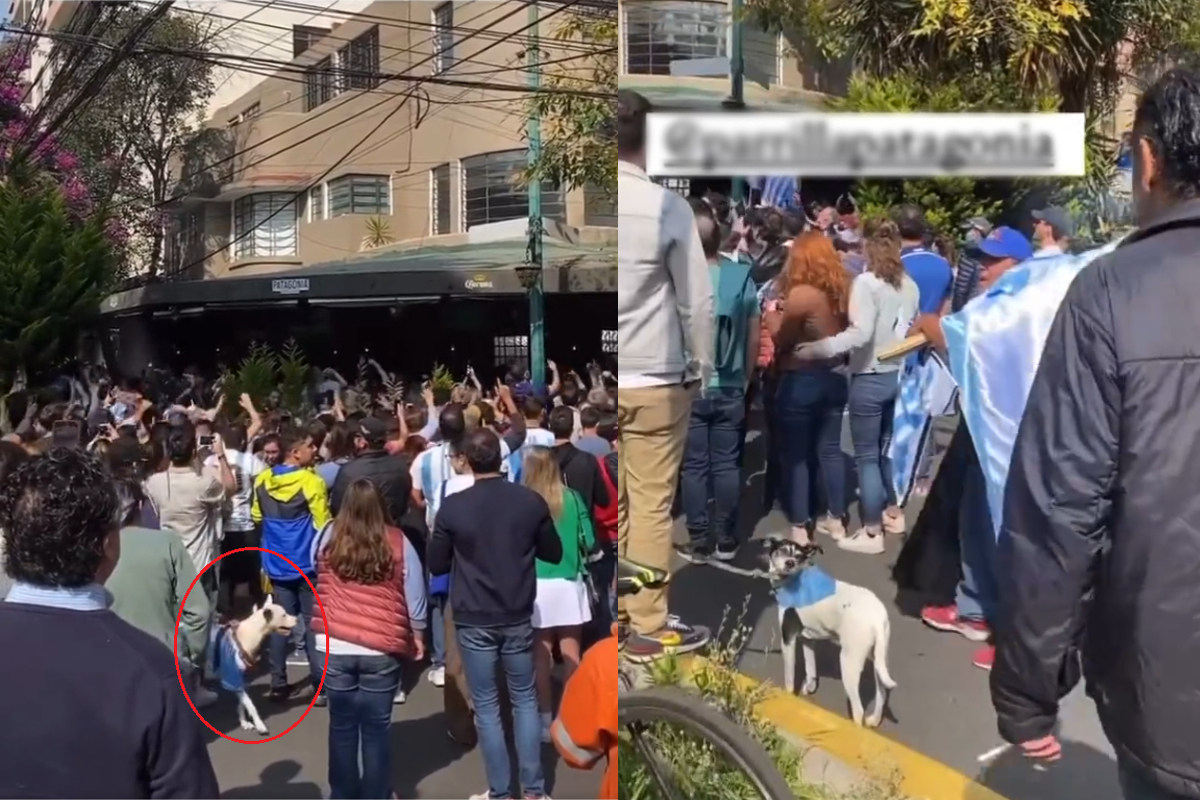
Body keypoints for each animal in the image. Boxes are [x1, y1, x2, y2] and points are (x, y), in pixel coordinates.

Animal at [208, 594, 297, 738]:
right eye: (283, 615)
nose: (296, 618)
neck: (246, 636)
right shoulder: (233, 678)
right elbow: (250, 705)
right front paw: (260, 725)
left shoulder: (242, 678)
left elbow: (241, 704)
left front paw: (244, 722)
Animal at [763, 542, 897, 729]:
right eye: (782, 550)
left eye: (798, 556)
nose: (790, 563)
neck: (793, 580)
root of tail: (876, 618)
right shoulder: (808, 639)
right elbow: (810, 667)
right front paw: (810, 687)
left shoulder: (788, 639)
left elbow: (789, 678)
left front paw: (789, 698)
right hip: (879, 660)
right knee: (882, 693)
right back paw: (874, 720)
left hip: (848, 663)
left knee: (858, 710)